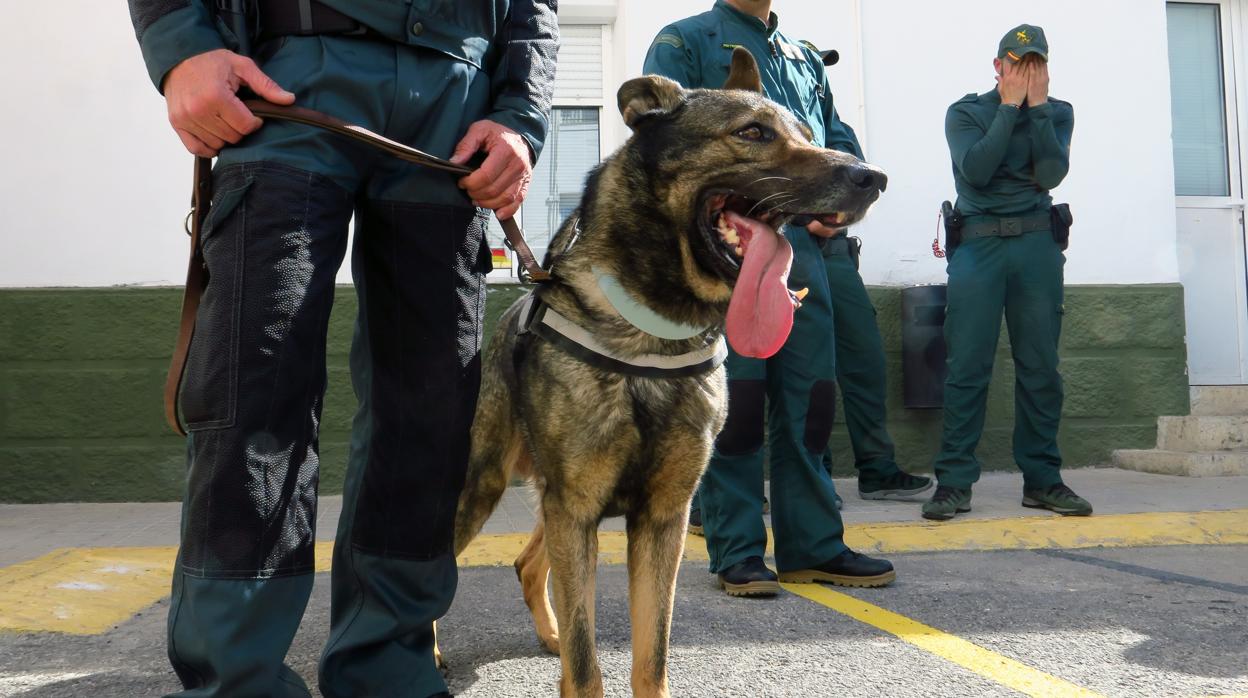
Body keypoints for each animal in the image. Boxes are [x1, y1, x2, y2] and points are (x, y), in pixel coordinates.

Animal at [449, 50, 888, 698]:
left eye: (809, 135)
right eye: (753, 134)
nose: (872, 178)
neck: (652, 332)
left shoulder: (659, 519)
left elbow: (650, 655)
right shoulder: (578, 508)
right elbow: (588, 666)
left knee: (529, 564)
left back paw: (548, 637)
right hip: (481, 486)